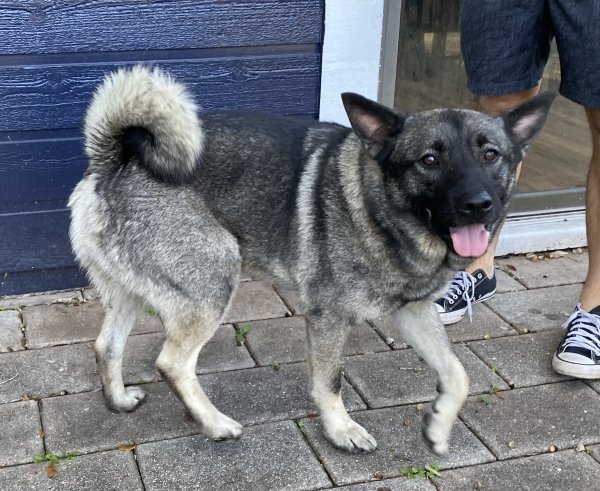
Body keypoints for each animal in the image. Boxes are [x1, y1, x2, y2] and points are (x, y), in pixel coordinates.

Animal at [69, 67, 552, 456]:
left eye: (491, 154)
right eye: (429, 160)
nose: (479, 205)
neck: (378, 207)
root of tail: (114, 161)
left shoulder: (414, 313)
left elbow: (458, 373)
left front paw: (437, 427)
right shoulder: (328, 319)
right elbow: (329, 382)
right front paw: (340, 430)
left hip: (134, 292)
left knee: (107, 345)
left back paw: (118, 400)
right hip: (213, 284)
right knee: (173, 363)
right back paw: (215, 424)